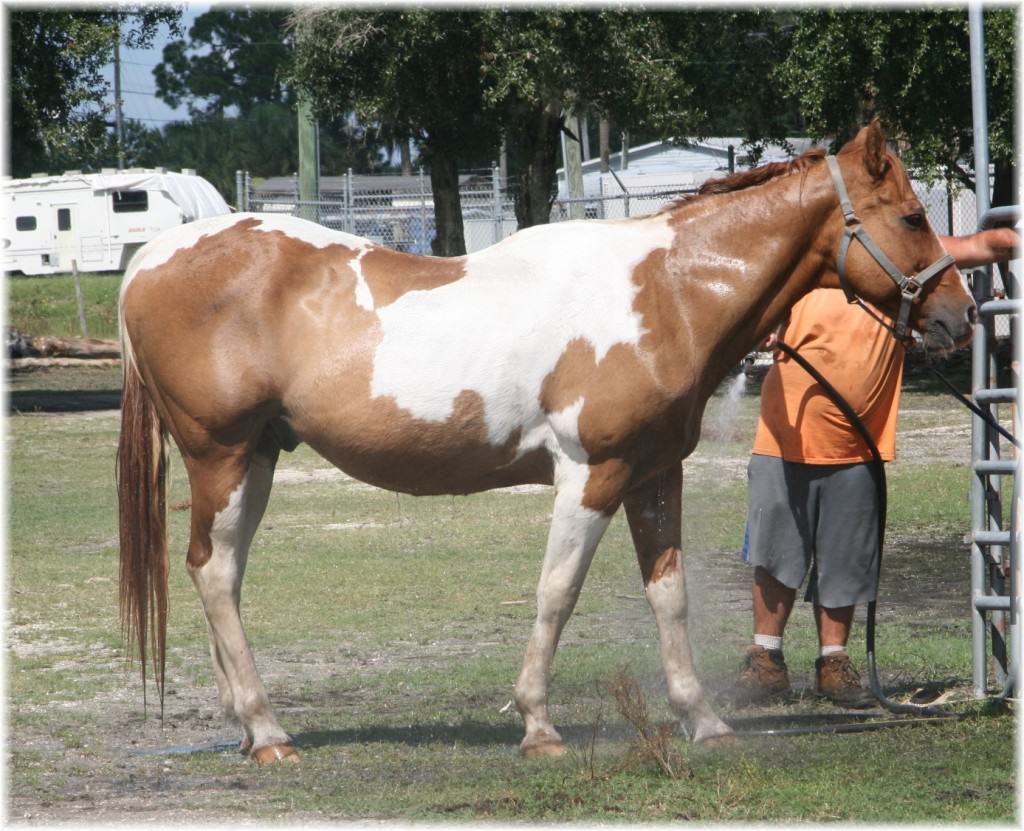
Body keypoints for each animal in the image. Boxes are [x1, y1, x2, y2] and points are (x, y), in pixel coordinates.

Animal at [116, 120, 970, 761]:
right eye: (912, 215)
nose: (960, 315)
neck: (667, 291)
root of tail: (148, 260)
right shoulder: (593, 474)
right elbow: (557, 592)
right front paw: (538, 723)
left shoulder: (654, 474)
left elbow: (670, 594)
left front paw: (703, 718)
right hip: (223, 457)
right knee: (214, 572)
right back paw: (267, 731)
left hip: (257, 456)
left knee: (222, 574)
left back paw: (246, 720)